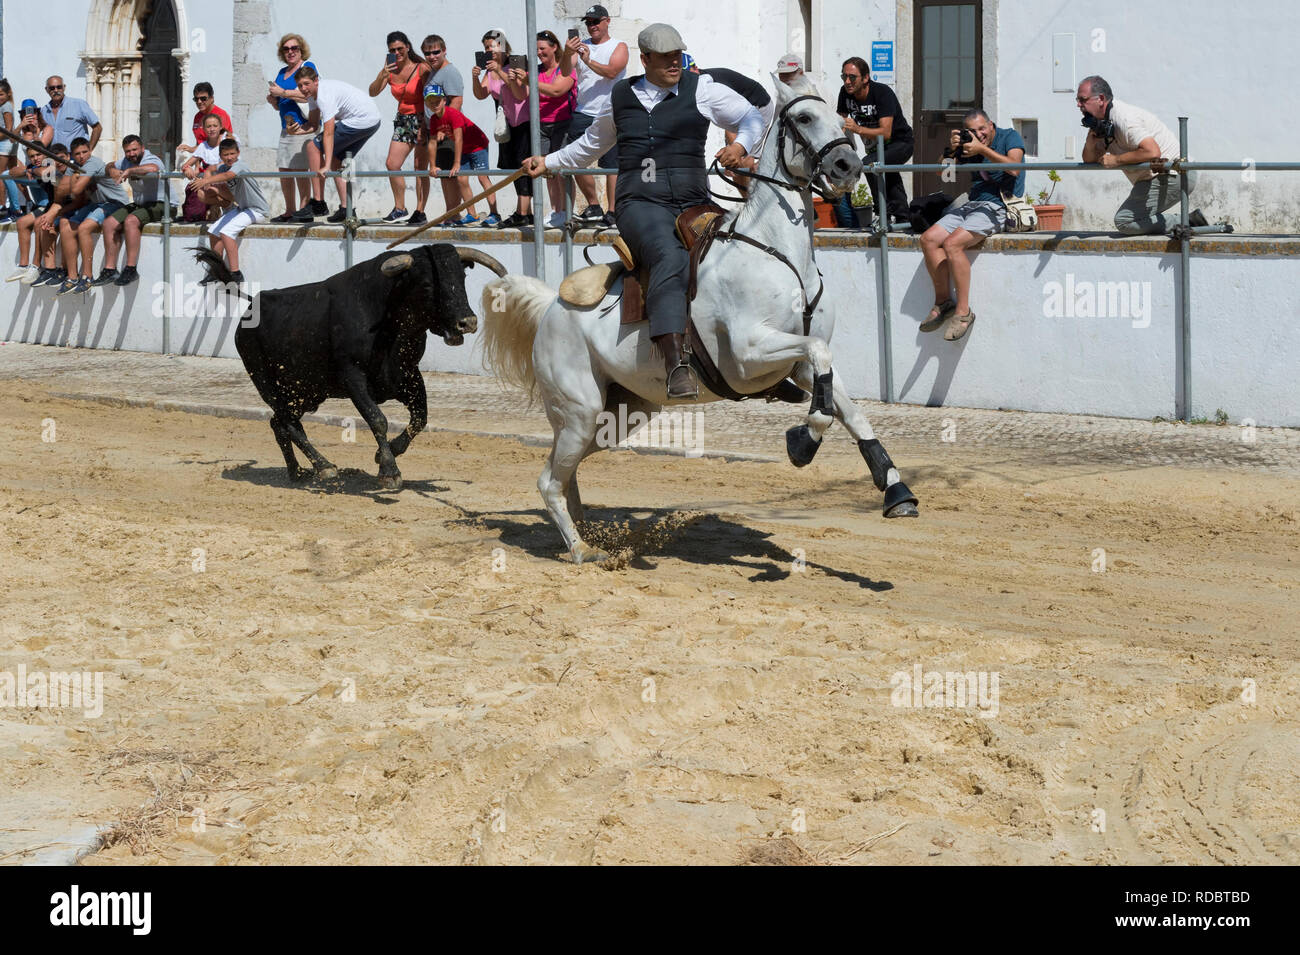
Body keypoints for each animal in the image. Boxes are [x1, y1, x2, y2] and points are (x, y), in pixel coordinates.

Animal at [192, 246, 506, 488]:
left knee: (280, 423)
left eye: (461, 278)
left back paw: (297, 472)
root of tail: (252, 304)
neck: (387, 313)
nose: (467, 322)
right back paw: (324, 466)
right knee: (286, 422)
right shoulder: (353, 378)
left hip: (304, 392)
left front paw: (387, 454)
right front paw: (389, 471)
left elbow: (420, 418)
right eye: (428, 284)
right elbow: (377, 419)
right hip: (267, 383)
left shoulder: (408, 375)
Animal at [483, 78, 920, 563]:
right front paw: (802, 443)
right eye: (804, 118)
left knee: (566, 474)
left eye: (841, 117)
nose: (848, 166)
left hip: (617, 416)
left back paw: (588, 534)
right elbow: (820, 377)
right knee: (549, 480)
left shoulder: (802, 367)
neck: (776, 254)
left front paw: (895, 491)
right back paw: (581, 550)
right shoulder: (749, 357)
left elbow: (849, 408)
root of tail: (550, 308)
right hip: (580, 411)